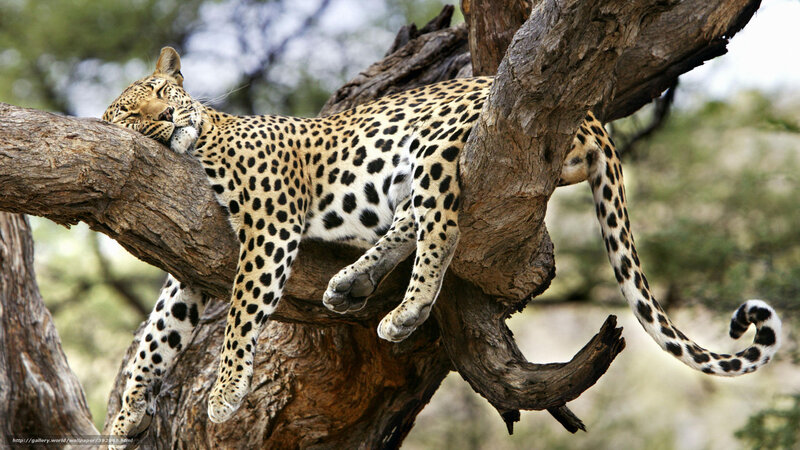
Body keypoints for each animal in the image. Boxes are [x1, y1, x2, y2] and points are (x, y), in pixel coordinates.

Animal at [103, 47, 782, 443]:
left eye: (161, 96)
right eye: (131, 115)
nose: (166, 121)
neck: (202, 141)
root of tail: (591, 115)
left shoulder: (269, 227)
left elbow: (243, 313)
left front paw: (223, 395)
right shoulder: (188, 267)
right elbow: (157, 334)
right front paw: (126, 412)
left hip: (434, 145)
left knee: (443, 225)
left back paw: (404, 312)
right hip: (406, 173)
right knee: (412, 220)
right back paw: (352, 283)